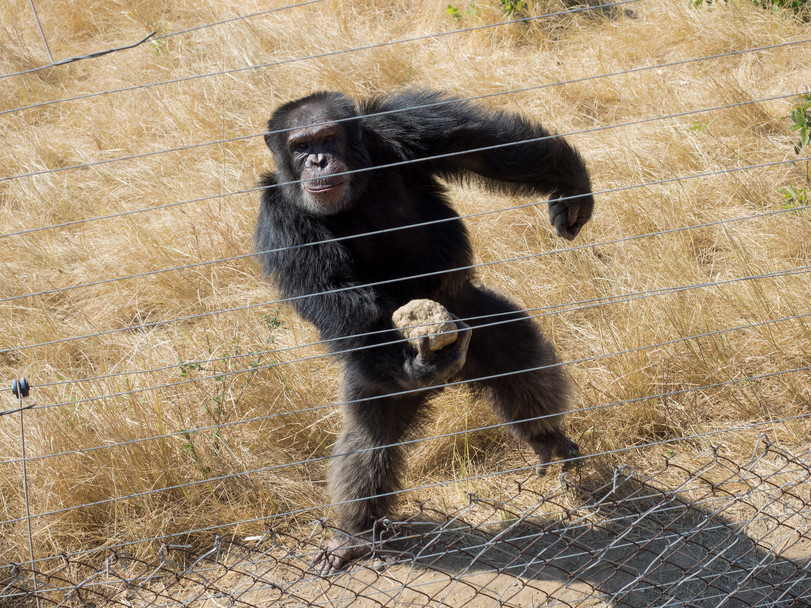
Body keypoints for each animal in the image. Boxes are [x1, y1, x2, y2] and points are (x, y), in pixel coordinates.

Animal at [256, 88, 592, 572]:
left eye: (328, 137)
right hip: (381, 373)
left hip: (473, 317)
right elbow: (333, 294)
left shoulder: (407, 124)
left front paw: (572, 187)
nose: (317, 160)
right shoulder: (280, 222)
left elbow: (487, 149)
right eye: (300, 146)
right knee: (369, 438)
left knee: (518, 356)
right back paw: (355, 534)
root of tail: (451, 375)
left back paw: (546, 436)